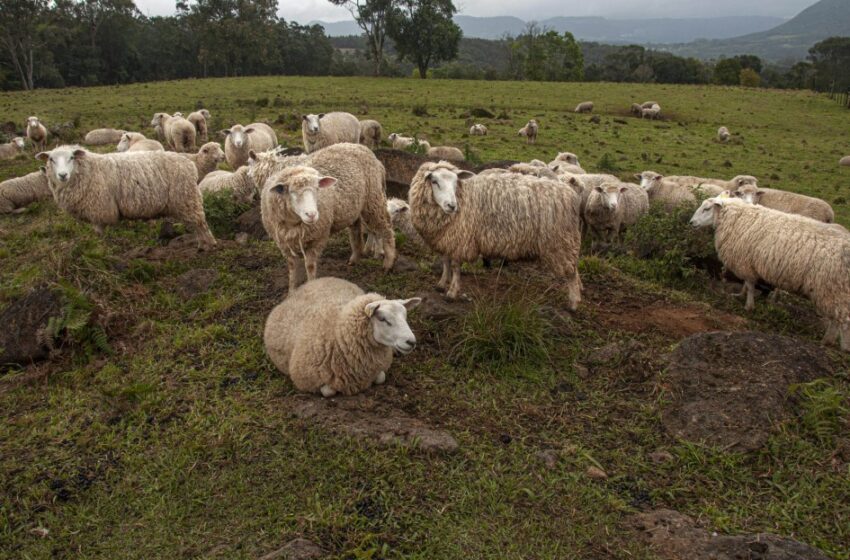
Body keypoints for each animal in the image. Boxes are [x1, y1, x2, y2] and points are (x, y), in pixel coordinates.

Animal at [36, 144, 215, 245]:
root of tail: (189, 163)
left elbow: (99, 234)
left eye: (72, 157)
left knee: (200, 222)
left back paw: (209, 245)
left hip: (186, 197)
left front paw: (101, 249)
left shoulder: (100, 210)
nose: (62, 175)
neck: (88, 170)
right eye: (51, 159)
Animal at [256, 142, 396, 290]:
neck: (294, 223)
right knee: (355, 230)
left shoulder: (317, 238)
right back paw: (355, 258)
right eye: (291, 192)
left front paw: (311, 286)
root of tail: (358, 146)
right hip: (354, 205)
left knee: (386, 228)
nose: (312, 214)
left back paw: (388, 263)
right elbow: (293, 269)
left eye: (317, 189)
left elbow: (310, 266)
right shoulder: (284, 244)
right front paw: (292, 290)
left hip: (373, 199)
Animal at [258, 278, 418, 396]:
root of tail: (316, 280)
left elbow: (381, 377)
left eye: (405, 316)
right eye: (382, 319)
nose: (411, 342)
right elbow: (328, 391)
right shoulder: (305, 379)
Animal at [406, 160, 580, 308]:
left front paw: (452, 292)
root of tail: (570, 194)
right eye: (434, 181)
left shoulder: (460, 239)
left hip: (562, 241)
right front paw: (441, 284)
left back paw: (573, 304)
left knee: (572, 273)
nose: (451, 205)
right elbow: (445, 262)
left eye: (456, 183)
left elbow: (455, 266)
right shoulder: (446, 238)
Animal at [688, 195, 848, 348]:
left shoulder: (744, 262)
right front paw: (741, 295)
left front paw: (748, 306)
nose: (691, 223)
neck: (736, 217)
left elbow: (750, 285)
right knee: (837, 318)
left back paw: (837, 344)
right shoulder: (748, 263)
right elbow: (747, 284)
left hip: (831, 289)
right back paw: (829, 341)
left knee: (842, 320)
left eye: (707, 209)